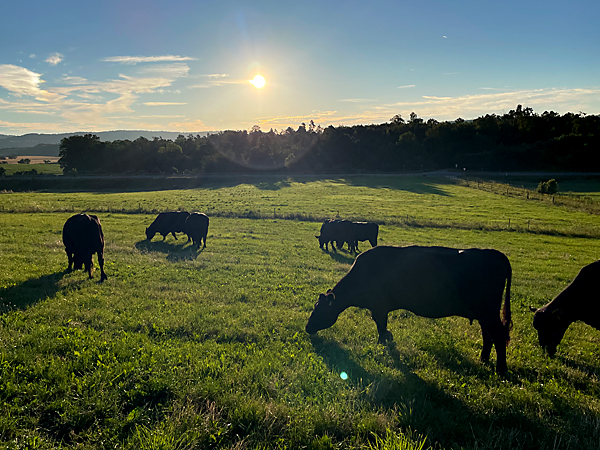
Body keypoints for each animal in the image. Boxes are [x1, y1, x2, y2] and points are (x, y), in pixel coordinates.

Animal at [308, 246, 512, 372]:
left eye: (319, 309)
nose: (307, 327)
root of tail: (496, 254)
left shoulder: (379, 307)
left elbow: (381, 327)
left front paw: (383, 344)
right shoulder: (379, 308)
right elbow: (382, 327)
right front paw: (388, 339)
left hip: (488, 312)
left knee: (498, 336)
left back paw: (501, 369)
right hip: (484, 314)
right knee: (488, 336)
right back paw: (483, 360)